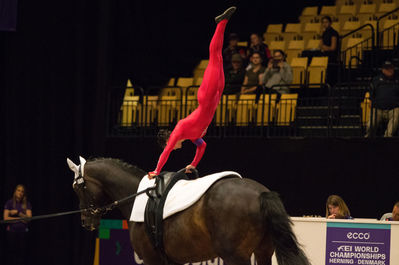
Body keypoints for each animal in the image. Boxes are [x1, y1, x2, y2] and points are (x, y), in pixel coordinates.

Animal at [67, 157, 310, 264]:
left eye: (78, 188)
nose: (85, 221)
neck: (136, 194)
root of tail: (260, 193)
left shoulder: (152, 260)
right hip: (262, 253)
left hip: (235, 257)